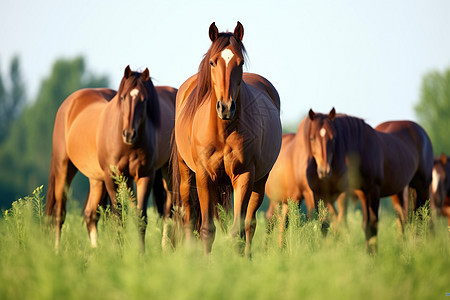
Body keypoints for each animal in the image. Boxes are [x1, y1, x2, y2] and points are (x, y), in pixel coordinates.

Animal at [44, 65, 176, 251]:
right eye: (122, 97)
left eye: (144, 100)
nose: (129, 134)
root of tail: (70, 103)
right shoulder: (111, 177)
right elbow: (118, 218)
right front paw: (119, 251)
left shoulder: (144, 176)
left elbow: (140, 217)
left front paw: (140, 253)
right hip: (64, 167)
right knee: (60, 212)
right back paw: (57, 250)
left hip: (103, 178)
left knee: (91, 214)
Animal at [172, 21, 282, 255]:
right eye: (213, 62)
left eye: (240, 62)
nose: (225, 107)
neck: (223, 131)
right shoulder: (204, 176)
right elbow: (206, 229)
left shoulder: (244, 175)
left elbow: (238, 231)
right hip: (187, 176)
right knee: (189, 217)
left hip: (259, 182)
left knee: (249, 224)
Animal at [306, 108, 432, 253]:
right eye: (311, 138)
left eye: (333, 138)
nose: (324, 171)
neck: (361, 149)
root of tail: (422, 132)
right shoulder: (359, 193)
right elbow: (338, 225)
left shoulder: (373, 190)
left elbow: (371, 224)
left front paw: (373, 254)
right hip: (399, 191)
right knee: (403, 219)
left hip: (423, 187)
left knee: (422, 217)